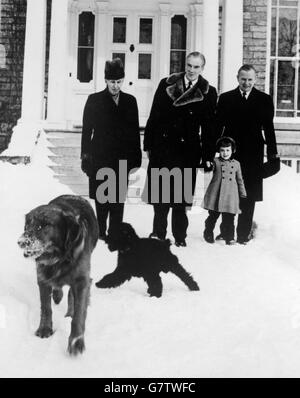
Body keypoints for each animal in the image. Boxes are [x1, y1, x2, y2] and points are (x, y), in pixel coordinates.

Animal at [17, 194, 98, 356]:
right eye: (28, 224)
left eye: (46, 224)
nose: (21, 242)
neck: (59, 258)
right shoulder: (42, 277)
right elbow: (46, 308)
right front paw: (44, 329)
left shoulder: (82, 281)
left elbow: (79, 315)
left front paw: (76, 342)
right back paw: (57, 294)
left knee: (70, 294)